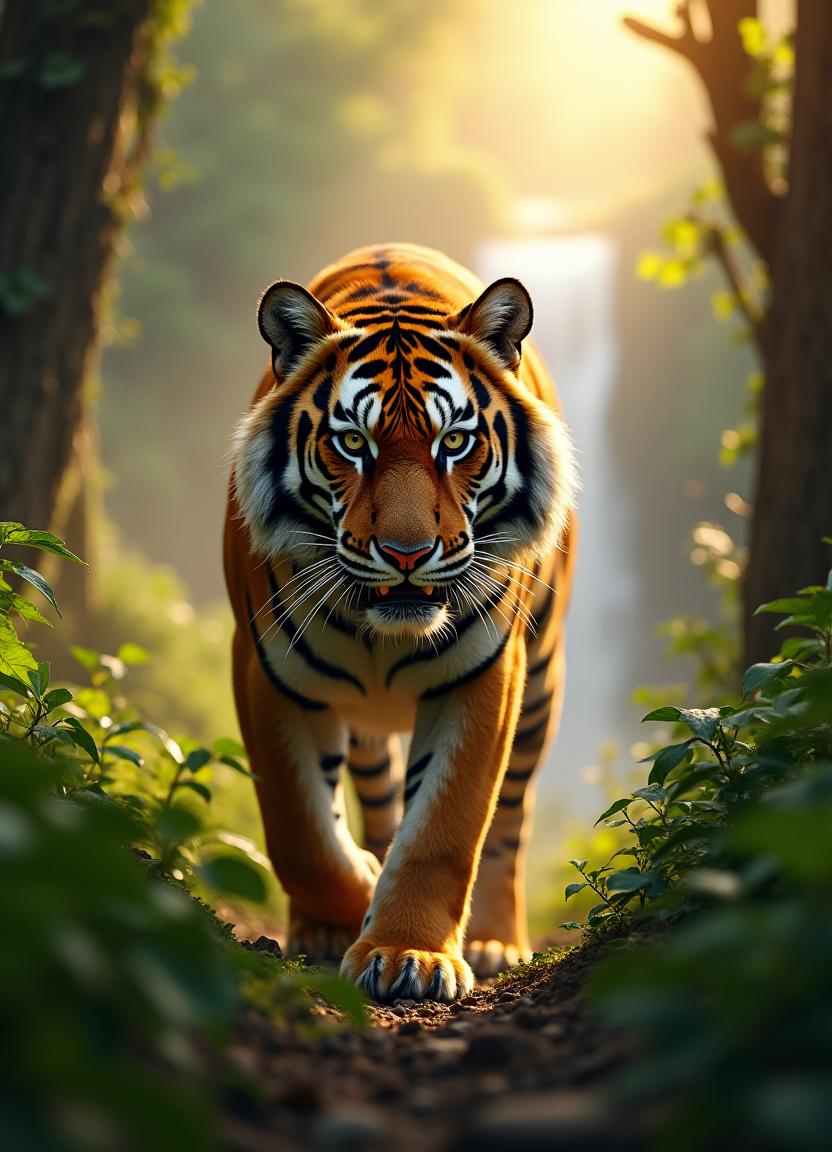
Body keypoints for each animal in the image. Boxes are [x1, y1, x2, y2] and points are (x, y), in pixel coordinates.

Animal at [224, 243, 577, 1003]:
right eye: (353, 442)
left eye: (456, 441)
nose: (409, 553)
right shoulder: (267, 672)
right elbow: (301, 835)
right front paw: (357, 900)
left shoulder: (485, 677)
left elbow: (444, 830)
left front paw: (407, 952)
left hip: (541, 682)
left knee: (511, 818)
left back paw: (496, 939)